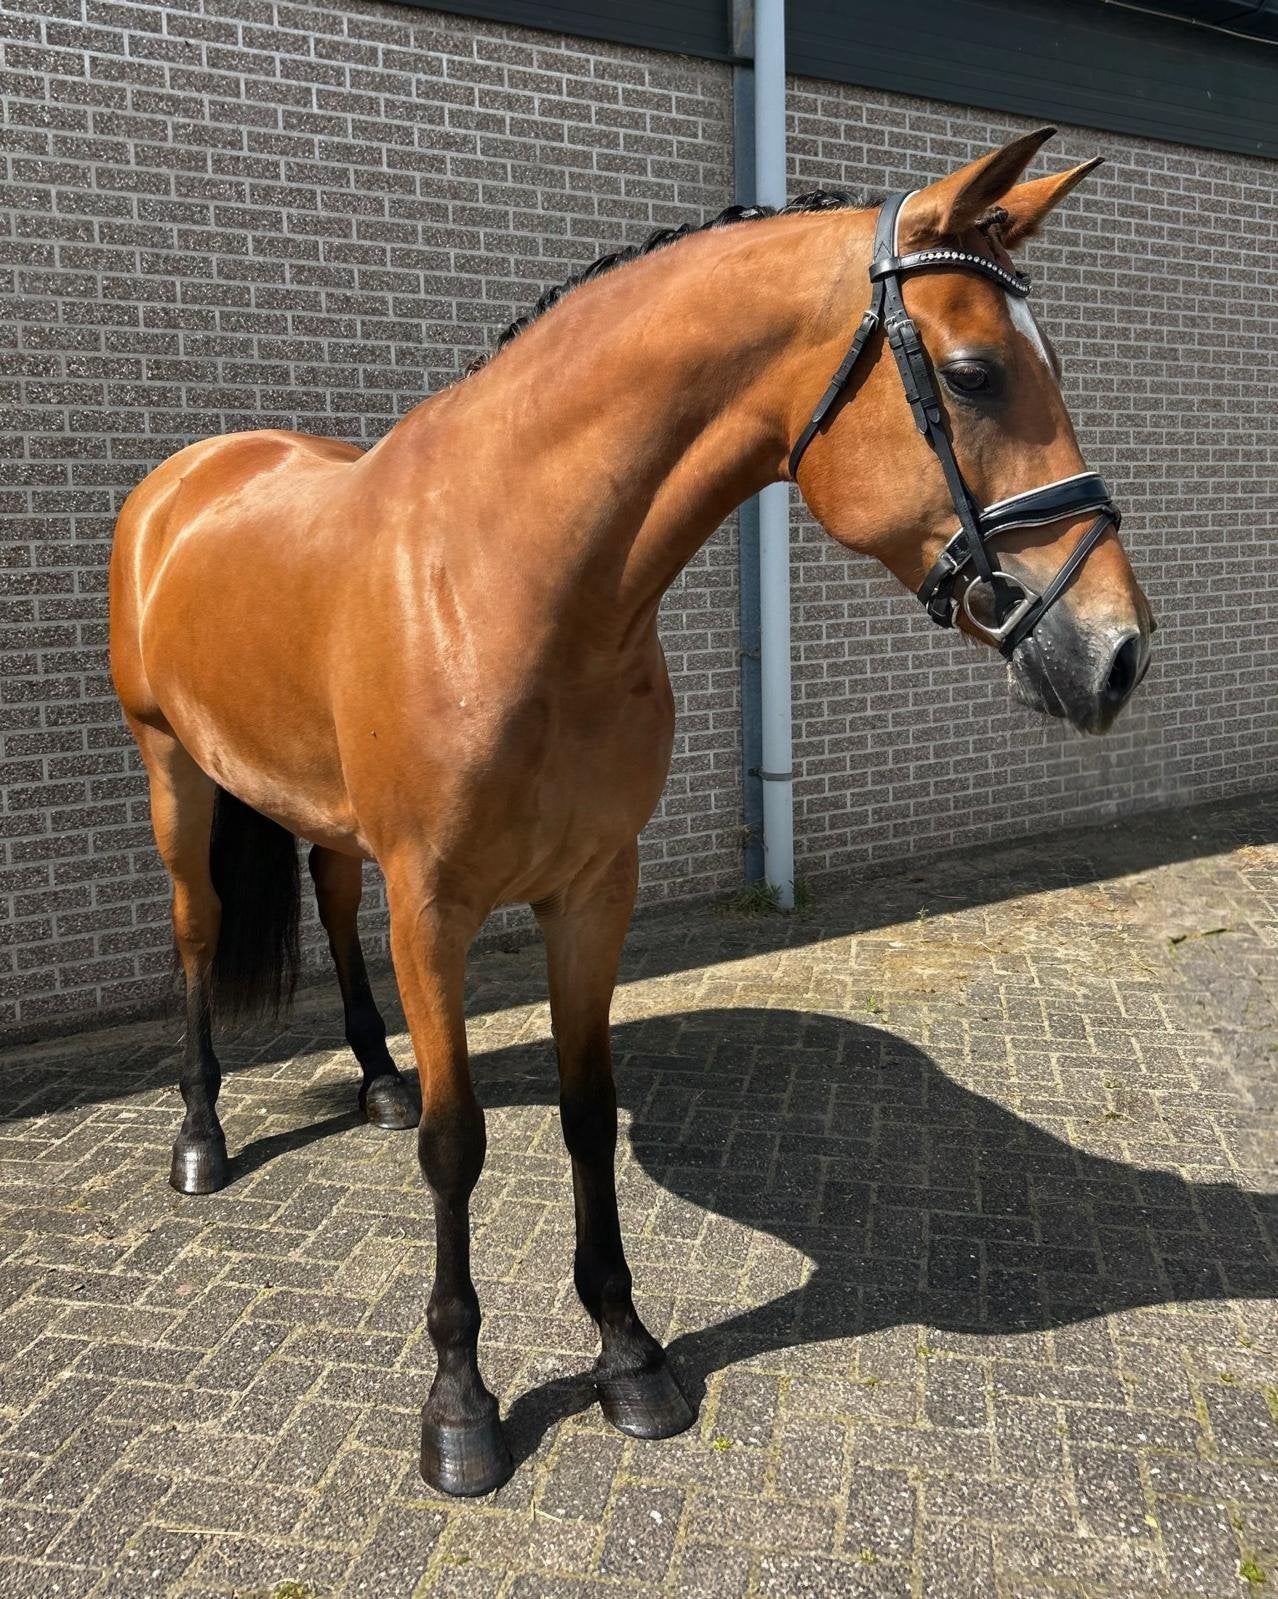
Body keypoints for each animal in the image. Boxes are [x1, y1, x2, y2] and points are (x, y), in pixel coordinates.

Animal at [109, 127, 1154, 1495]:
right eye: (975, 376)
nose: (1119, 654)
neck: (506, 577)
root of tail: (187, 477)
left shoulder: (597, 887)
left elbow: (586, 1116)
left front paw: (629, 1355)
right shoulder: (435, 906)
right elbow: (458, 1144)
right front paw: (461, 1409)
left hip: (323, 821)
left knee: (332, 909)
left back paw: (375, 1079)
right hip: (172, 772)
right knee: (194, 933)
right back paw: (200, 1140)